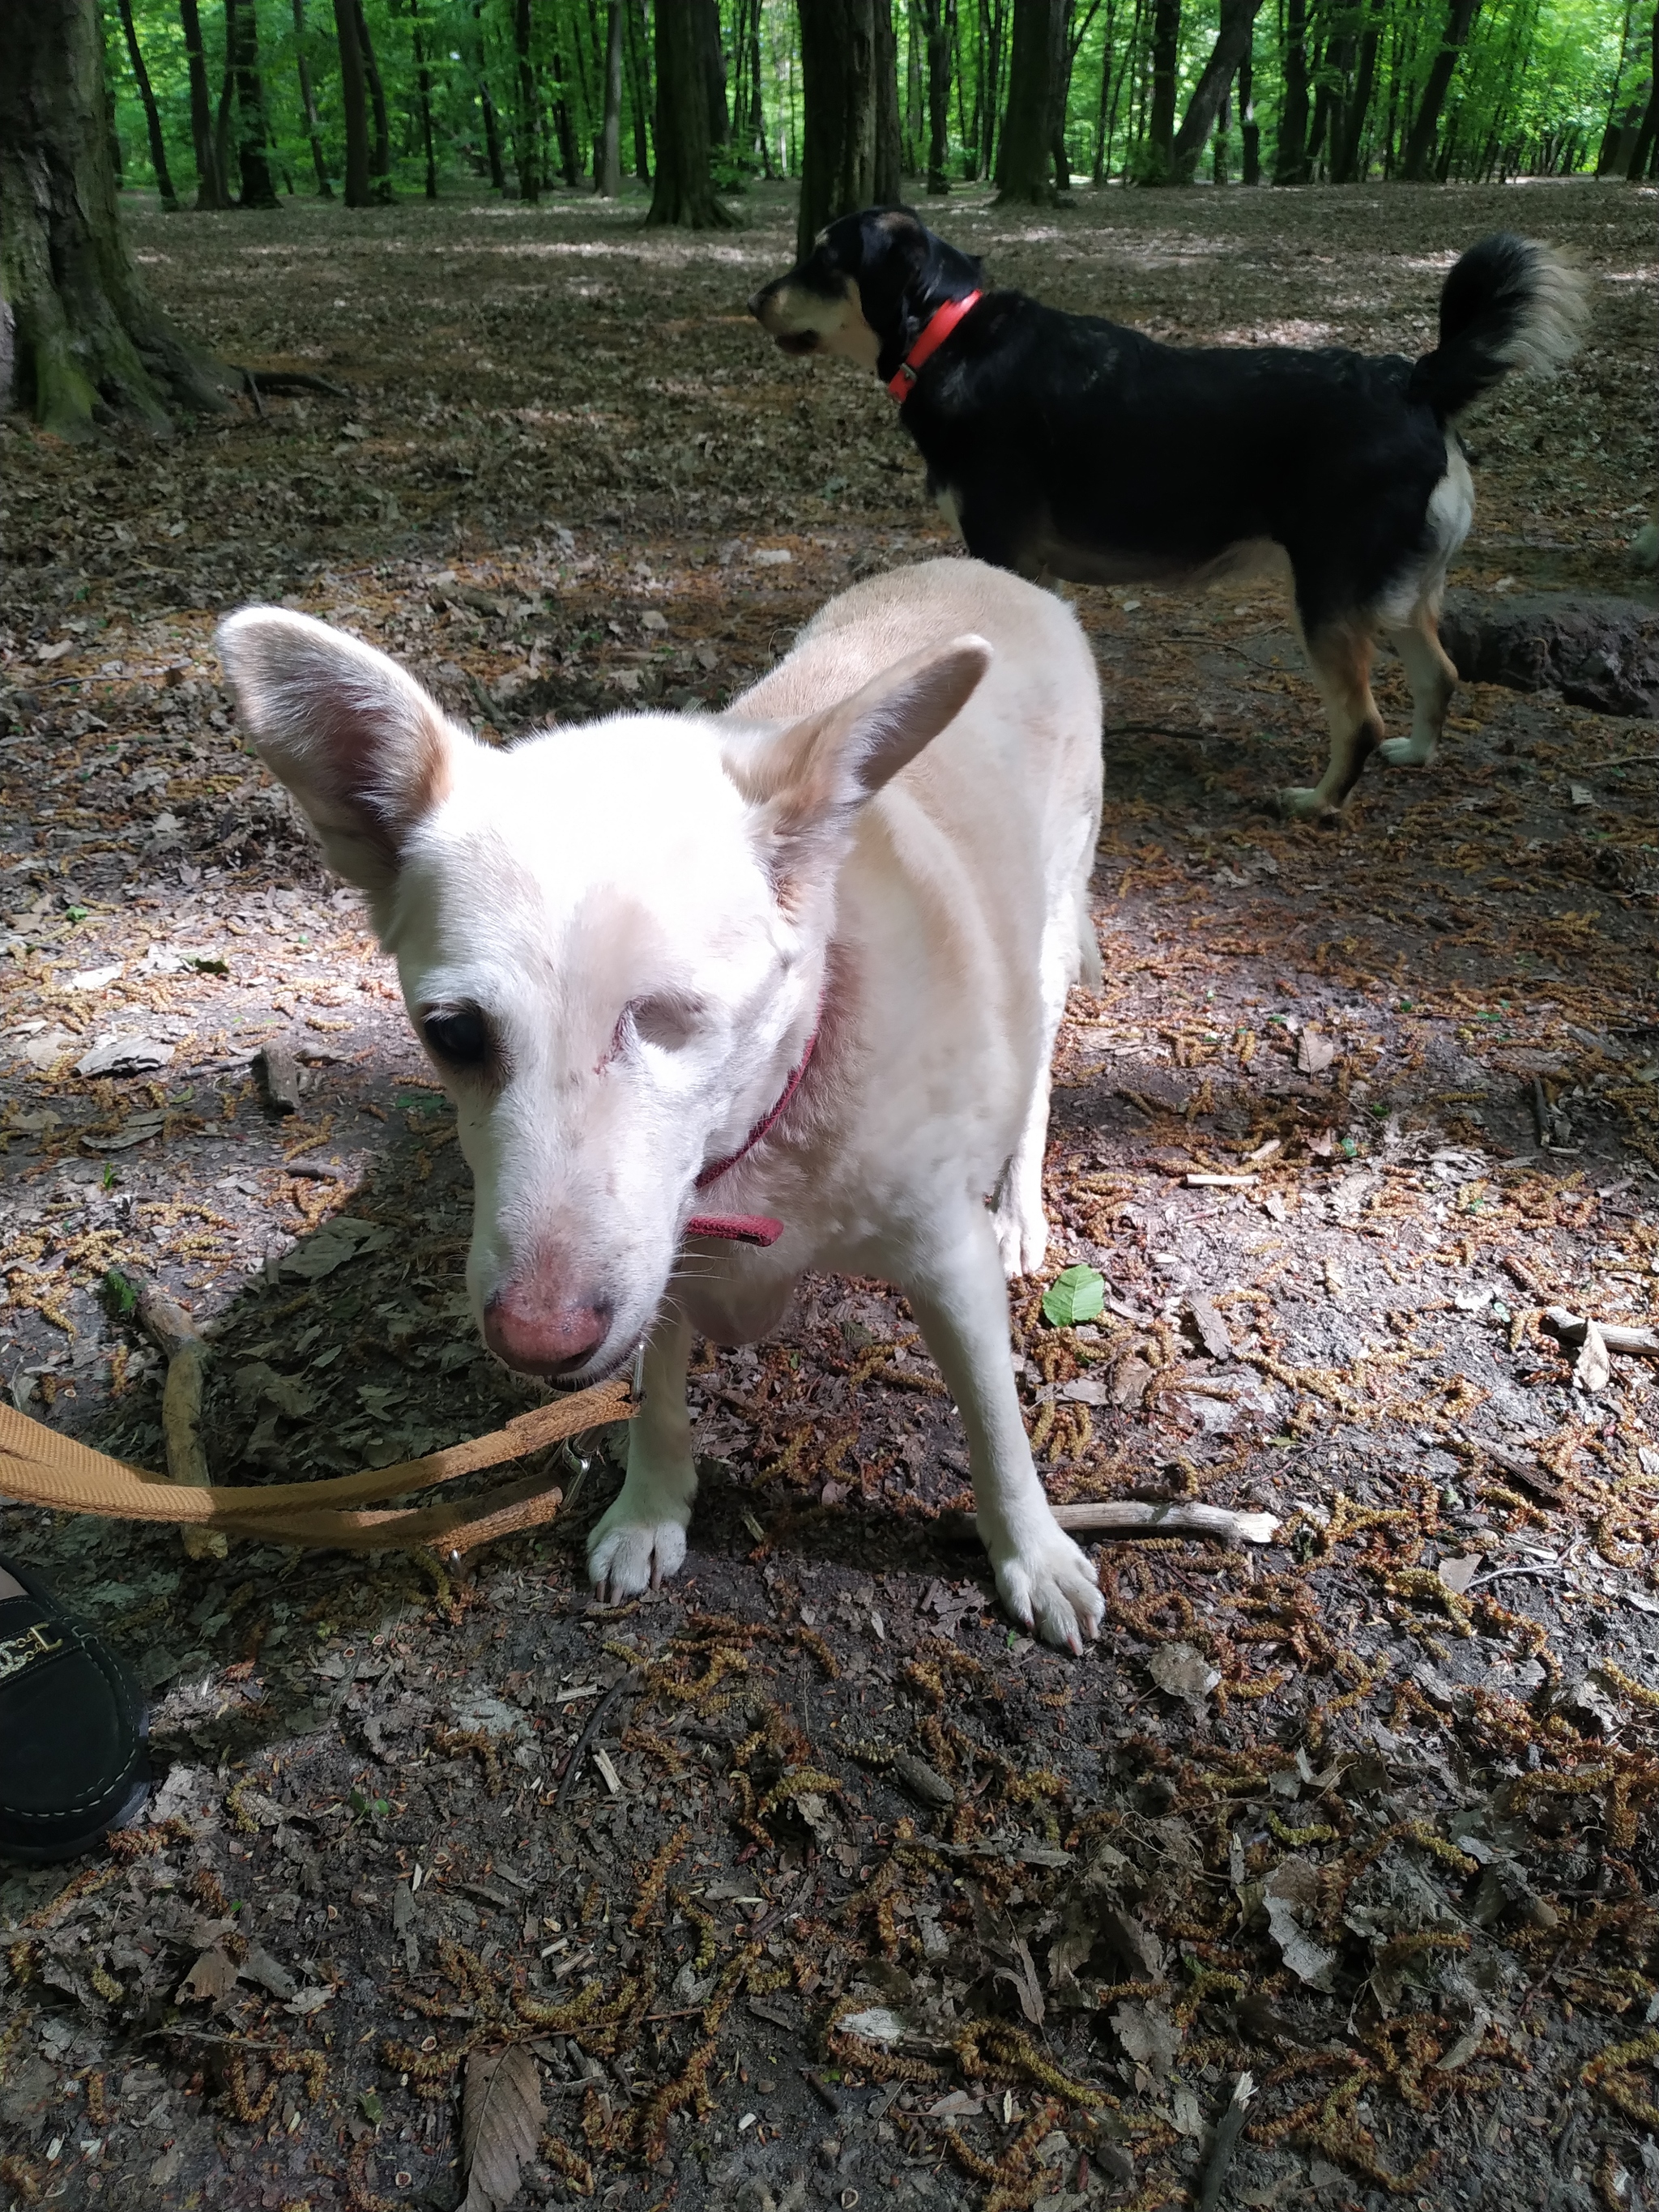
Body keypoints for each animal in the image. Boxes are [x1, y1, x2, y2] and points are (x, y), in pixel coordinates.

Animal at [214, 561, 1110, 1654]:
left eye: (669, 1018)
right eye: (455, 1034)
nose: (535, 1342)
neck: (766, 1133)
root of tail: (982, 571)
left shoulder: (947, 1264)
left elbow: (992, 1420)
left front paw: (1031, 1550)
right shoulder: (650, 1258)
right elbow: (654, 1396)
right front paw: (650, 1506)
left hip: (1051, 937)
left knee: (1035, 1073)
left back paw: (1020, 1204)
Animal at [752, 209, 1584, 822]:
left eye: (822, 258)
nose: (753, 301)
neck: (946, 334)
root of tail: (1414, 382)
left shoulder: (1004, 552)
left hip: (1329, 598)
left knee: (1361, 719)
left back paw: (1320, 802)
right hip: (1399, 592)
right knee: (1441, 674)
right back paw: (1413, 753)